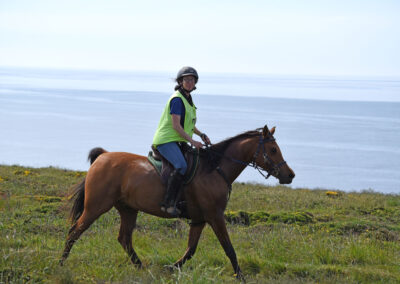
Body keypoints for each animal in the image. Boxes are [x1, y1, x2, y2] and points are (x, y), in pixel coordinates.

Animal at [61, 125, 296, 280]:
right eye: (273, 150)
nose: (290, 175)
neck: (214, 169)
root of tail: (103, 156)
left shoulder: (200, 219)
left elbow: (190, 250)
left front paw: (171, 268)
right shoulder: (215, 216)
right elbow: (229, 248)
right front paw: (241, 277)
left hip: (128, 209)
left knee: (124, 239)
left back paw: (141, 268)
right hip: (96, 207)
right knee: (74, 232)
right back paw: (61, 263)